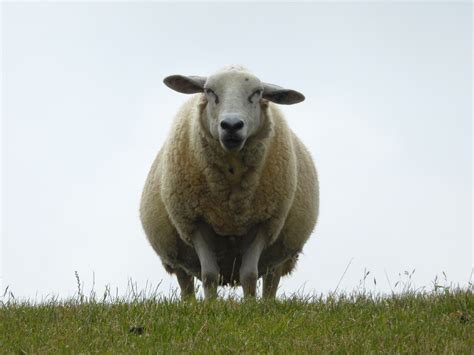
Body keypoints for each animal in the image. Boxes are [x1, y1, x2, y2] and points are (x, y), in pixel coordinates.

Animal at [140, 65, 318, 298]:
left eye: (257, 93)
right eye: (209, 91)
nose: (231, 125)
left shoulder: (264, 222)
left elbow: (249, 275)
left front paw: (251, 304)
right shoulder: (195, 222)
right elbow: (209, 276)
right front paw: (210, 304)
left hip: (279, 252)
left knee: (271, 282)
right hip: (176, 253)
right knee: (185, 283)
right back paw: (190, 303)